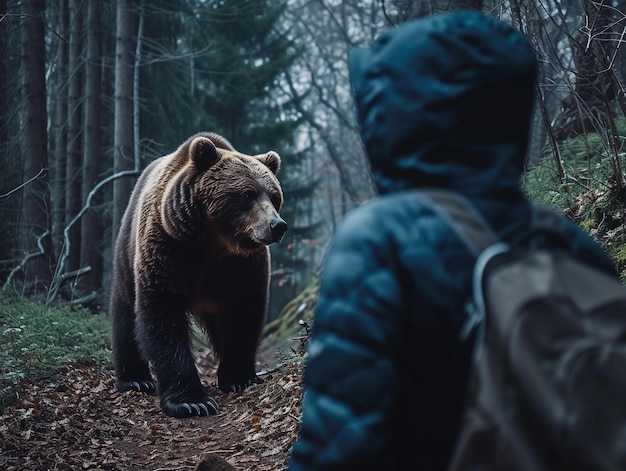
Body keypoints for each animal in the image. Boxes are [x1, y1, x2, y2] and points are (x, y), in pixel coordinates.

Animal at [108, 131, 286, 418]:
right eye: (248, 193)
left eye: (274, 195)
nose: (277, 226)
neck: (213, 241)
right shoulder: (169, 248)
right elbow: (162, 311)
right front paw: (192, 401)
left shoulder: (243, 265)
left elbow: (243, 312)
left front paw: (239, 377)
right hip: (126, 250)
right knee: (125, 313)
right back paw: (135, 379)